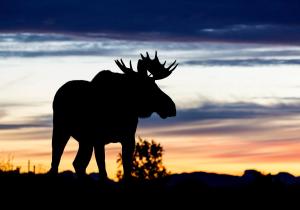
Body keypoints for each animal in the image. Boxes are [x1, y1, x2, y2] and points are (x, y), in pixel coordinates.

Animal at [48, 51, 177, 180]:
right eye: (149, 87)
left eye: (155, 85)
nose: (172, 107)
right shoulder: (98, 139)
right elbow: (103, 172)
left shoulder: (128, 138)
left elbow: (127, 171)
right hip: (61, 130)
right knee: (56, 161)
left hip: (85, 141)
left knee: (78, 163)